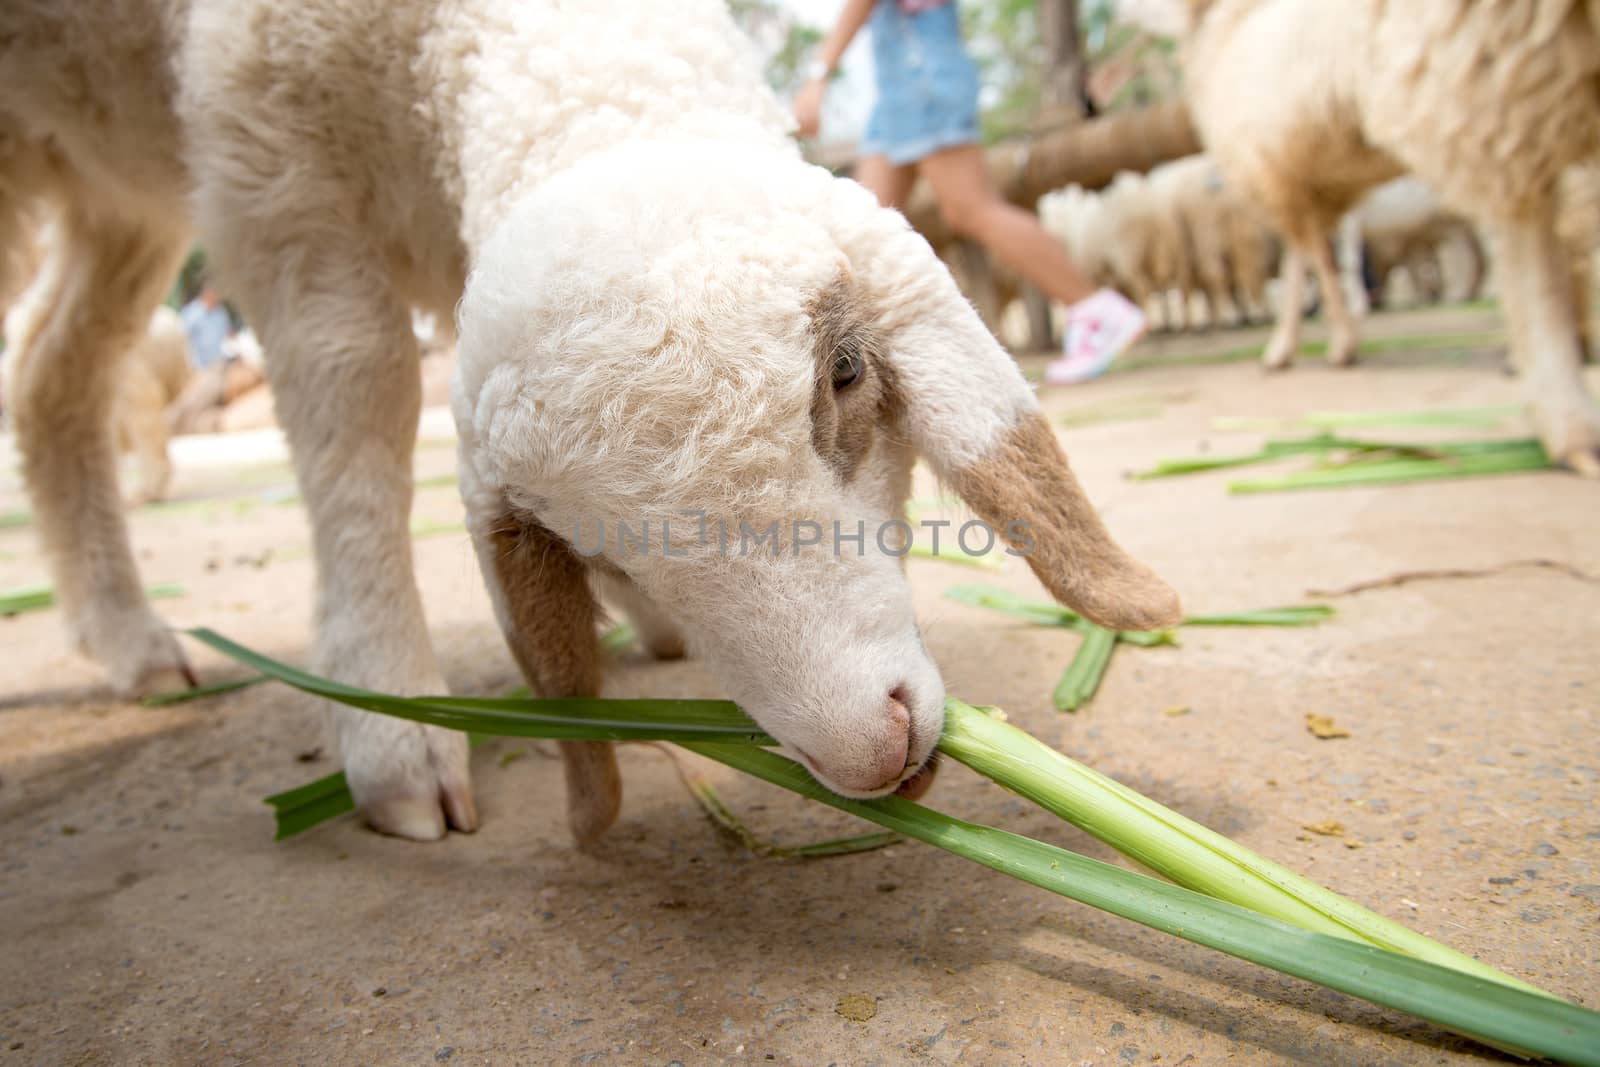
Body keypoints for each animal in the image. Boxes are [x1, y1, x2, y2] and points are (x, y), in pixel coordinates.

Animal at [0, 0, 1177, 844]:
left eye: (845, 375)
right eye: (585, 541)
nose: (869, 754)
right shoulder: (271, 162)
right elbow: (354, 393)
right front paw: (391, 718)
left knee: (50, 373)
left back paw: (130, 639)